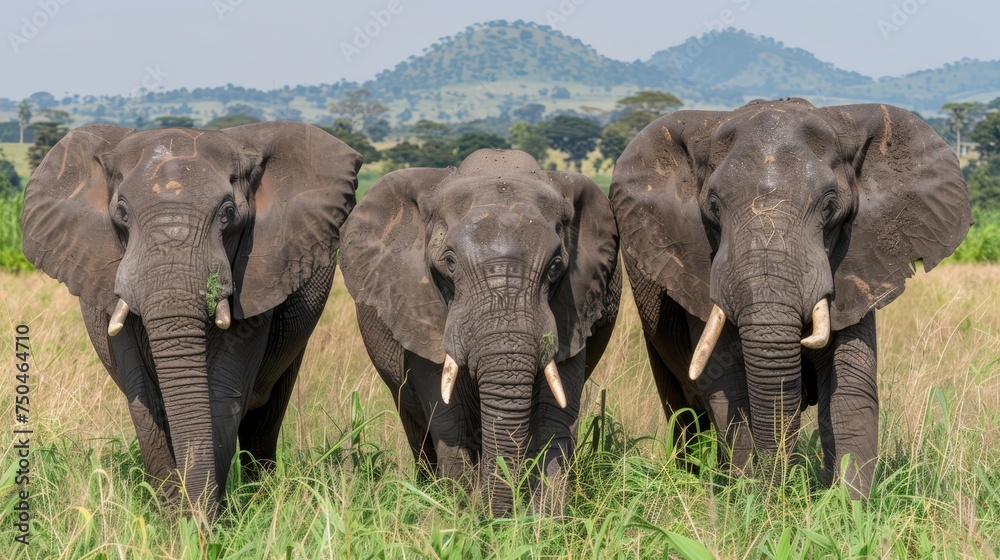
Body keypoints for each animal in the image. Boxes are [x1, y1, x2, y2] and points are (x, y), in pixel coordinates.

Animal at [20, 122, 361, 514]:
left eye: (228, 214)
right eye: (122, 214)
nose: (193, 515)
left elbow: (222, 393)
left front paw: (201, 520)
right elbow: (146, 400)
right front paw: (173, 519)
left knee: (266, 417)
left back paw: (260, 497)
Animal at [339, 149, 621, 516]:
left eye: (556, 266)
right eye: (449, 263)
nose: (497, 517)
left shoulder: (573, 309)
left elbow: (553, 417)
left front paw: (544, 523)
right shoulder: (420, 309)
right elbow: (449, 417)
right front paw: (460, 517)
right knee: (417, 428)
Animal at [609, 98, 971, 497]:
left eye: (829, 206)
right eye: (714, 206)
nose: (784, 490)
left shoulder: (860, 260)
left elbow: (851, 386)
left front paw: (845, 505)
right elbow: (727, 385)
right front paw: (747, 499)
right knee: (681, 414)